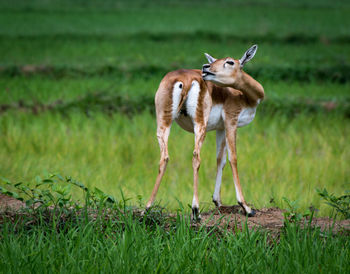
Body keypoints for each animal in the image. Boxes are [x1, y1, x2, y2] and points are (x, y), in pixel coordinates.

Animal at [144, 45, 262, 220]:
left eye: (229, 61)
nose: (206, 67)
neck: (245, 96)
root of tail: (184, 80)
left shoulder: (220, 128)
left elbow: (220, 160)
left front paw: (218, 202)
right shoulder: (231, 122)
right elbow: (233, 159)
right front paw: (246, 207)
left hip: (163, 123)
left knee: (164, 157)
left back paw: (146, 208)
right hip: (200, 125)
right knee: (196, 156)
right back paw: (196, 210)